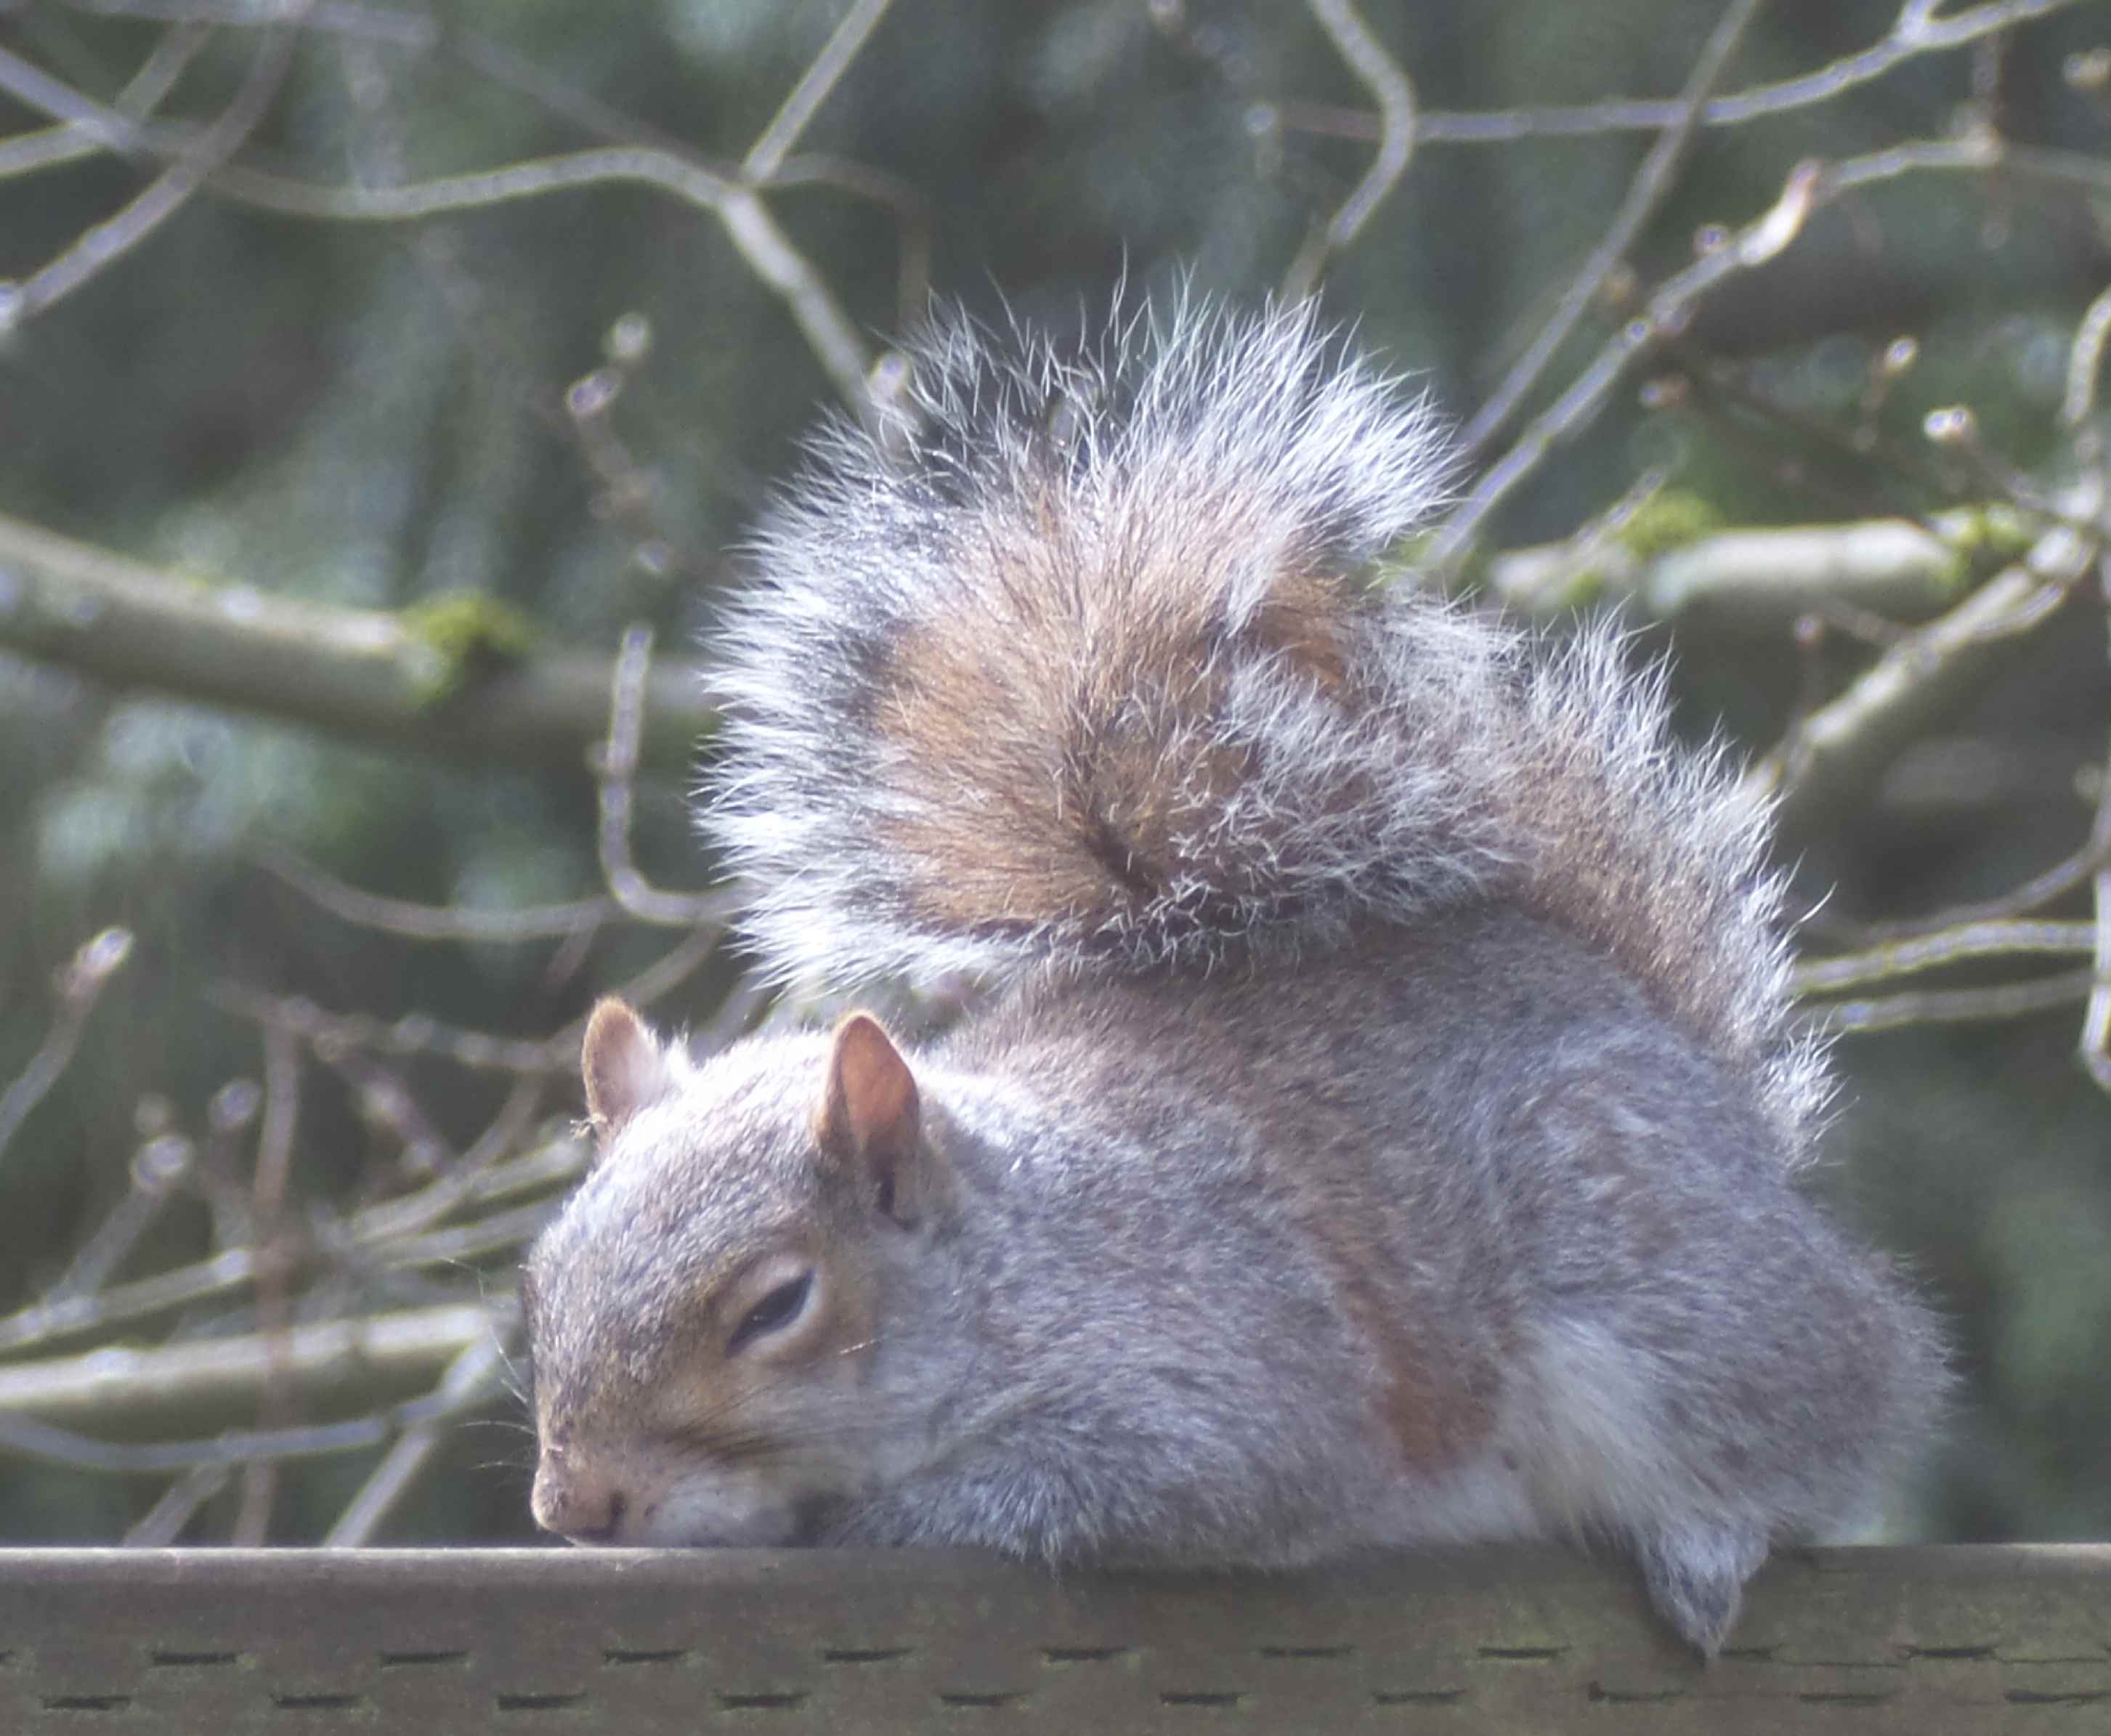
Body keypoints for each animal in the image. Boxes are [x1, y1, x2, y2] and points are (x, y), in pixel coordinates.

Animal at [523, 296, 1942, 1655]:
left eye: (776, 1305)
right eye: (542, 1281)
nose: (573, 1504)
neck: (1007, 1262)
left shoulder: (1217, 1381)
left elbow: (1140, 1482)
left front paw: (859, 1521)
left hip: (1663, 1286)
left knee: (1801, 1430)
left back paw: (1713, 1537)